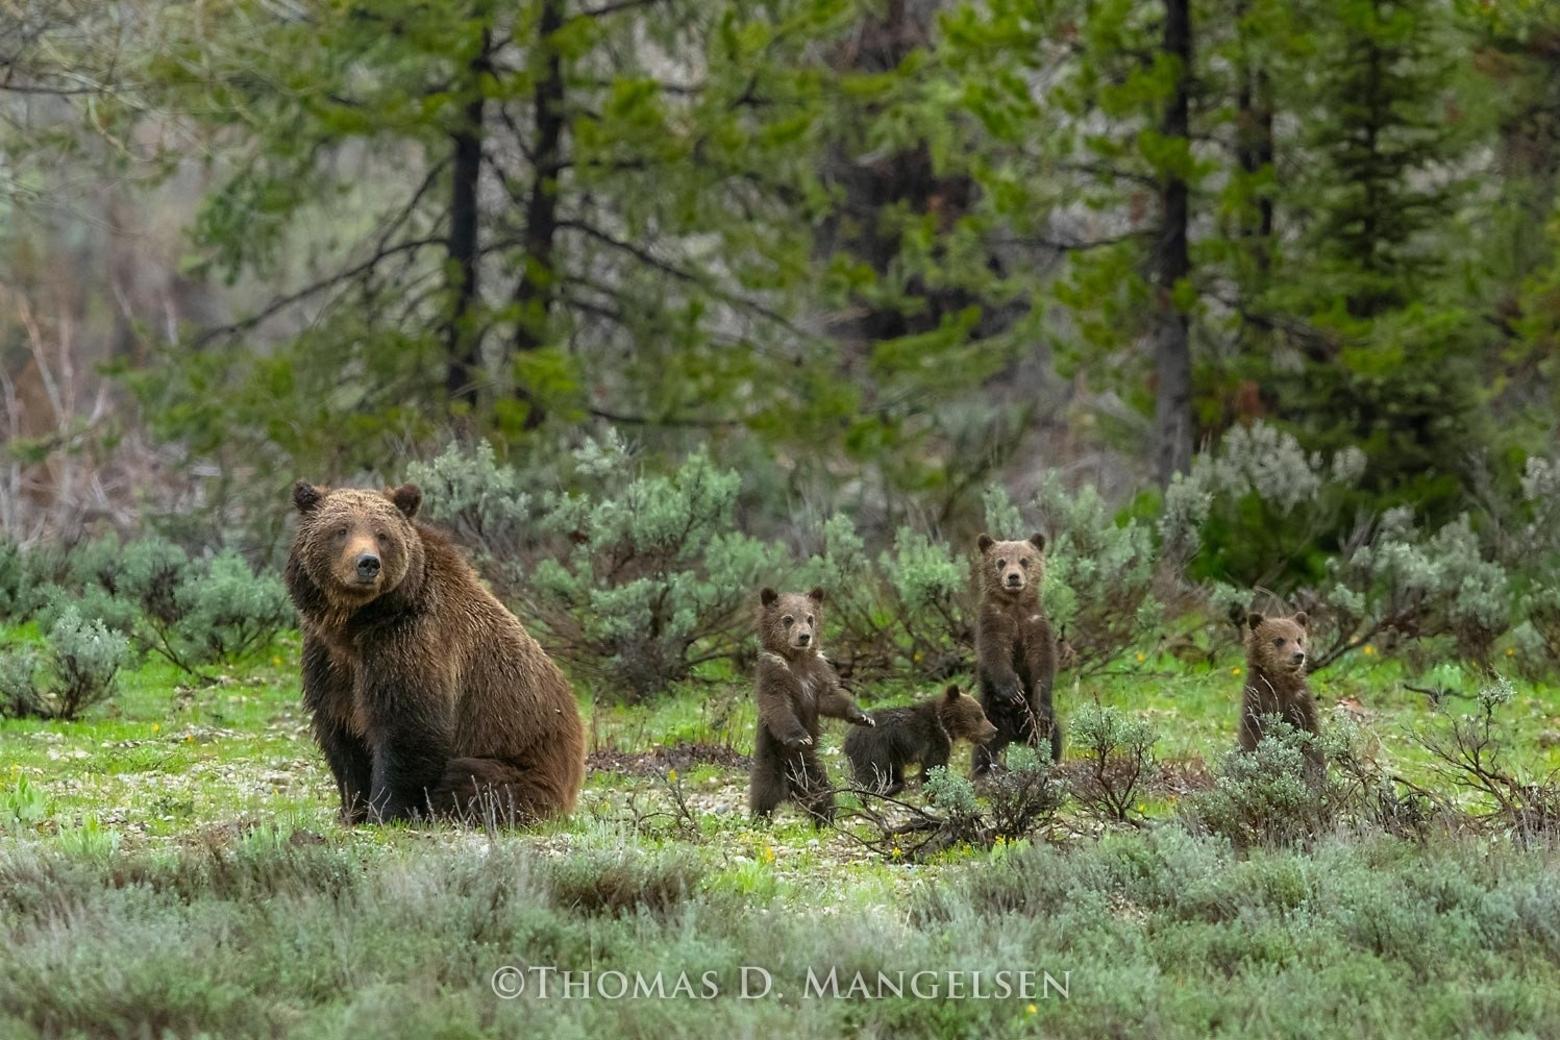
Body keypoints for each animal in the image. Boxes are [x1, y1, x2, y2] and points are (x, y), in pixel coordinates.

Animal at [287, 483, 586, 829]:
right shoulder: (328, 659)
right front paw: (352, 810)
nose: (367, 563)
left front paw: (385, 811)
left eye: (382, 534)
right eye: (341, 530)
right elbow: (341, 735)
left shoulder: (412, 642)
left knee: (469, 781)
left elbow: (409, 730)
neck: (358, 623)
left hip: (522, 766)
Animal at [745, 589, 873, 823]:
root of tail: (791, 790)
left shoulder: (818, 674)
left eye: (810, 618)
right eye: (788, 619)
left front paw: (863, 716)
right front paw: (800, 736)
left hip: (811, 771)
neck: (797, 660)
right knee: (763, 794)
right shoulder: (775, 675)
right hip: (771, 762)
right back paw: (759, 819)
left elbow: (831, 698)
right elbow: (778, 706)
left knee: (824, 794)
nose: (804, 636)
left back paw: (825, 818)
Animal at [848, 682, 992, 798]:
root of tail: (850, 736)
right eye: (978, 716)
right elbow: (933, 767)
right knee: (871, 771)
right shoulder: (934, 741)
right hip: (876, 748)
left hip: (891, 754)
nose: (994, 730)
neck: (945, 725)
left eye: (982, 714)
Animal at [967, 536, 1067, 773]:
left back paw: (1049, 761)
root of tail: (1015, 735)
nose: (1013, 577)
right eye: (1001, 562)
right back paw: (982, 771)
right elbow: (995, 653)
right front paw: (1012, 689)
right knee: (984, 749)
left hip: (1038, 725)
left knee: (1051, 737)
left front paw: (1041, 697)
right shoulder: (994, 623)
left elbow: (1043, 660)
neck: (1014, 605)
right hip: (991, 718)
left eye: (1024, 560)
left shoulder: (1035, 624)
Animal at [1235, 611, 1322, 773]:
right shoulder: (1258, 702)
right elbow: (1253, 736)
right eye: (1279, 640)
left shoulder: (1300, 703)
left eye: (1299, 639)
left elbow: (1309, 735)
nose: (1298, 655)